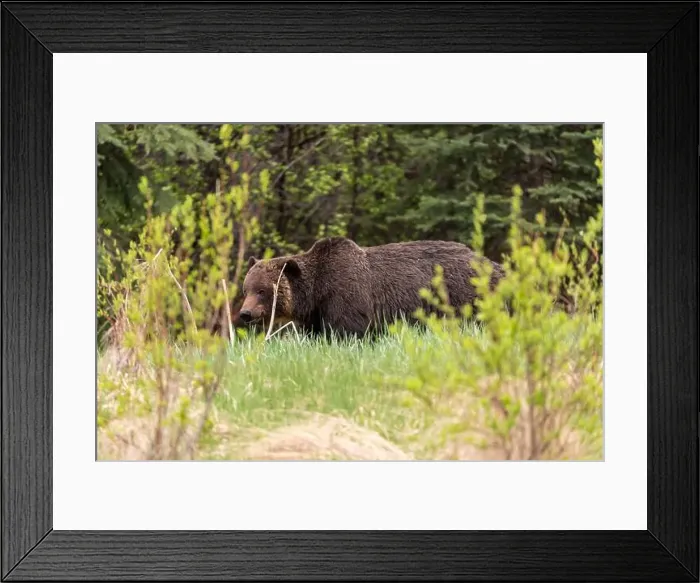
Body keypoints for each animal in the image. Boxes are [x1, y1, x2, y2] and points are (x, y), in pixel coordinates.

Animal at [238, 236, 505, 338]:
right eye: (246, 289)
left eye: (262, 290)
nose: (245, 313)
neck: (316, 292)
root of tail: (493, 264)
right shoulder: (318, 312)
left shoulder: (346, 295)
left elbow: (349, 330)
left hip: (462, 295)